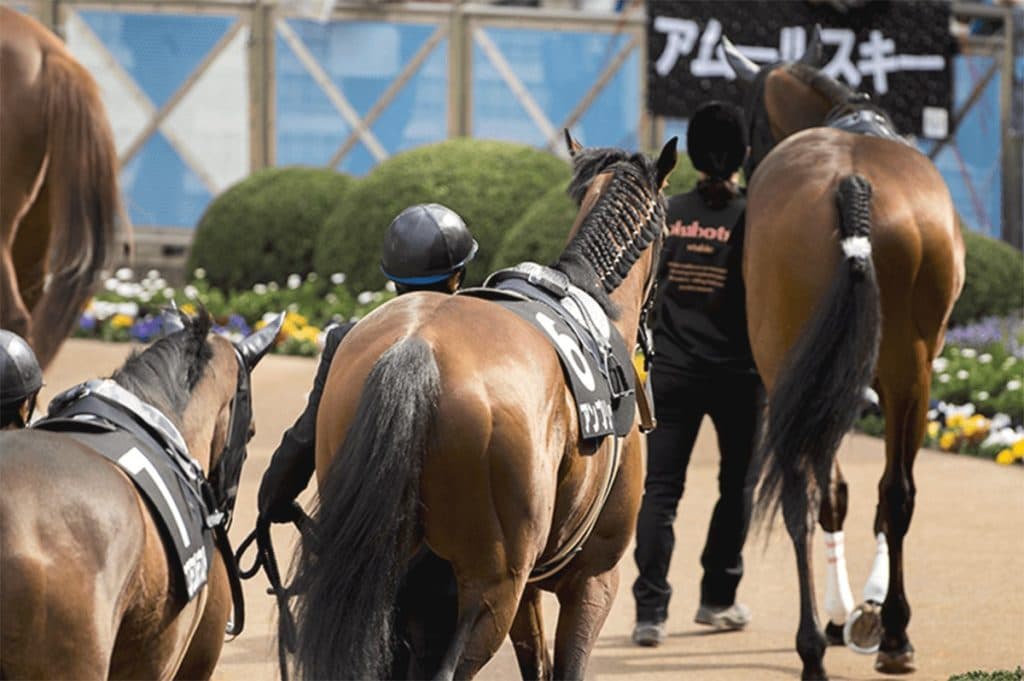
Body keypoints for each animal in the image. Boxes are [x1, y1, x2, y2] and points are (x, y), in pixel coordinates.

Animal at [721, 30, 965, 680]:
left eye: (749, 123)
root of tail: (851, 187)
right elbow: (877, 494)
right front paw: (869, 613)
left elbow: (832, 493)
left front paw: (844, 616)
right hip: (911, 368)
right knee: (896, 493)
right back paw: (895, 636)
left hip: (793, 367)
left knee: (803, 500)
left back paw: (815, 643)